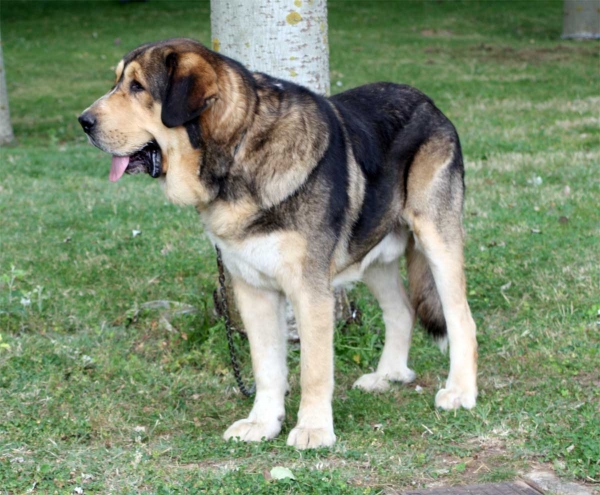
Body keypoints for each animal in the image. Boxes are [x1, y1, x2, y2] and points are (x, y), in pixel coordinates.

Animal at [79, 37, 478, 450]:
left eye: (138, 87)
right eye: (118, 82)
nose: (83, 122)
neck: (238, 149)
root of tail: (430, 104)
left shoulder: (310, 292)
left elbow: (314, 370)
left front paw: (314, 428)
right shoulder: (253, 291)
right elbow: (267, 367)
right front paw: (262, 422)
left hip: (436, 240)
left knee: (461, 319)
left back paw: (460, 392)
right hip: (373, 255)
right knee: (401, 311)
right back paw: (389, 375)